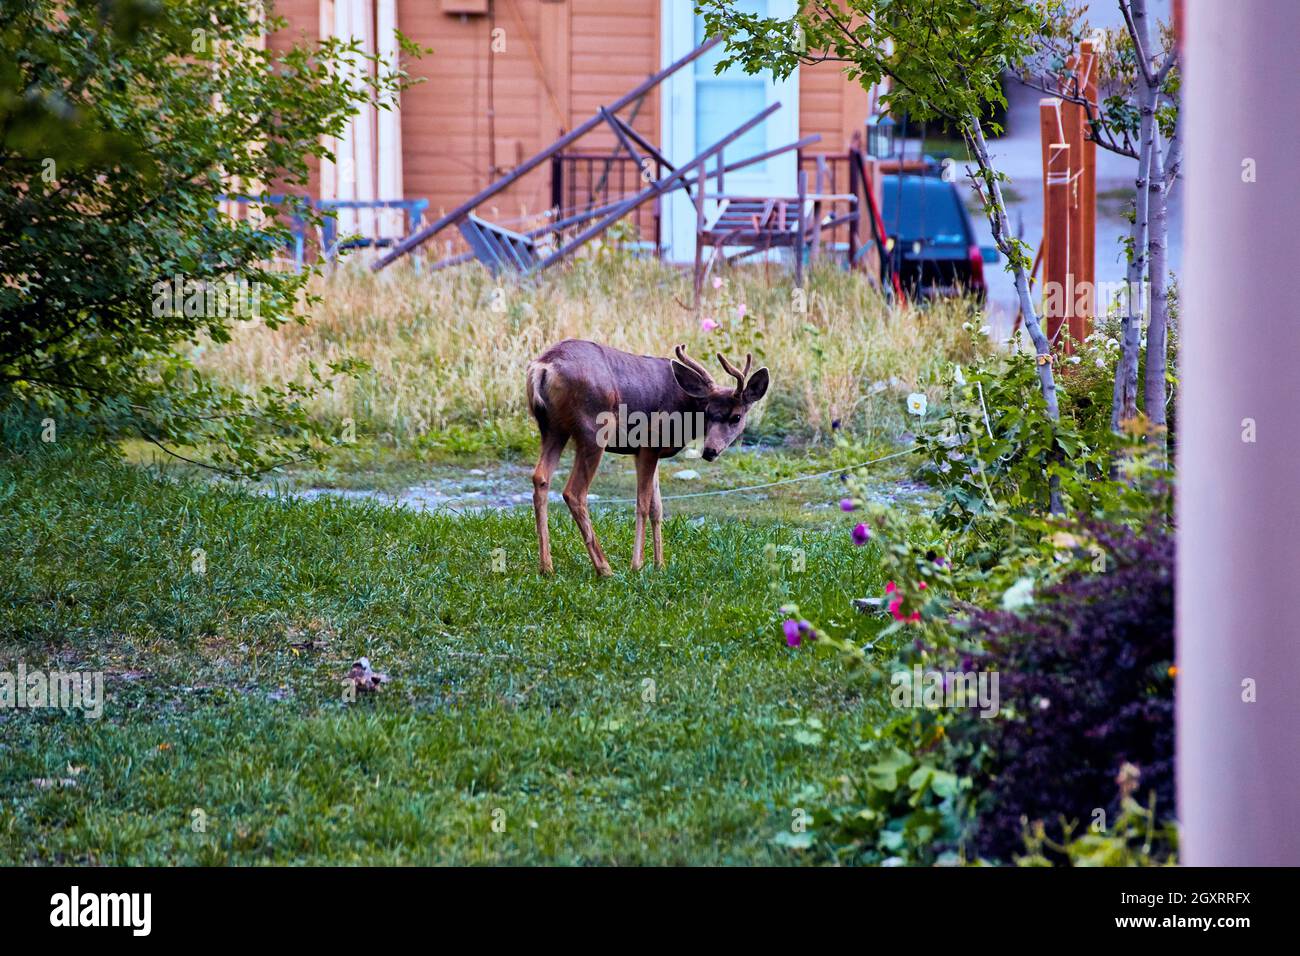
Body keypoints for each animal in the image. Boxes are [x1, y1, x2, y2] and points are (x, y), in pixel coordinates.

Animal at [525, 340, 770, 576]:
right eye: (709, 412)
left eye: (736, 417)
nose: (710, 451)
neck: (686, 408)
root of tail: (543, 367)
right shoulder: (650, 442)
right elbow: (643, 504)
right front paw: (637, 565)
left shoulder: (645, 452)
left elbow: (657, 507)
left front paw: (660, 564)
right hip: (593, 429)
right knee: (574, 492)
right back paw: (605, 569)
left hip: (552, 428)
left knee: (540, 478)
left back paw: (546, 567)